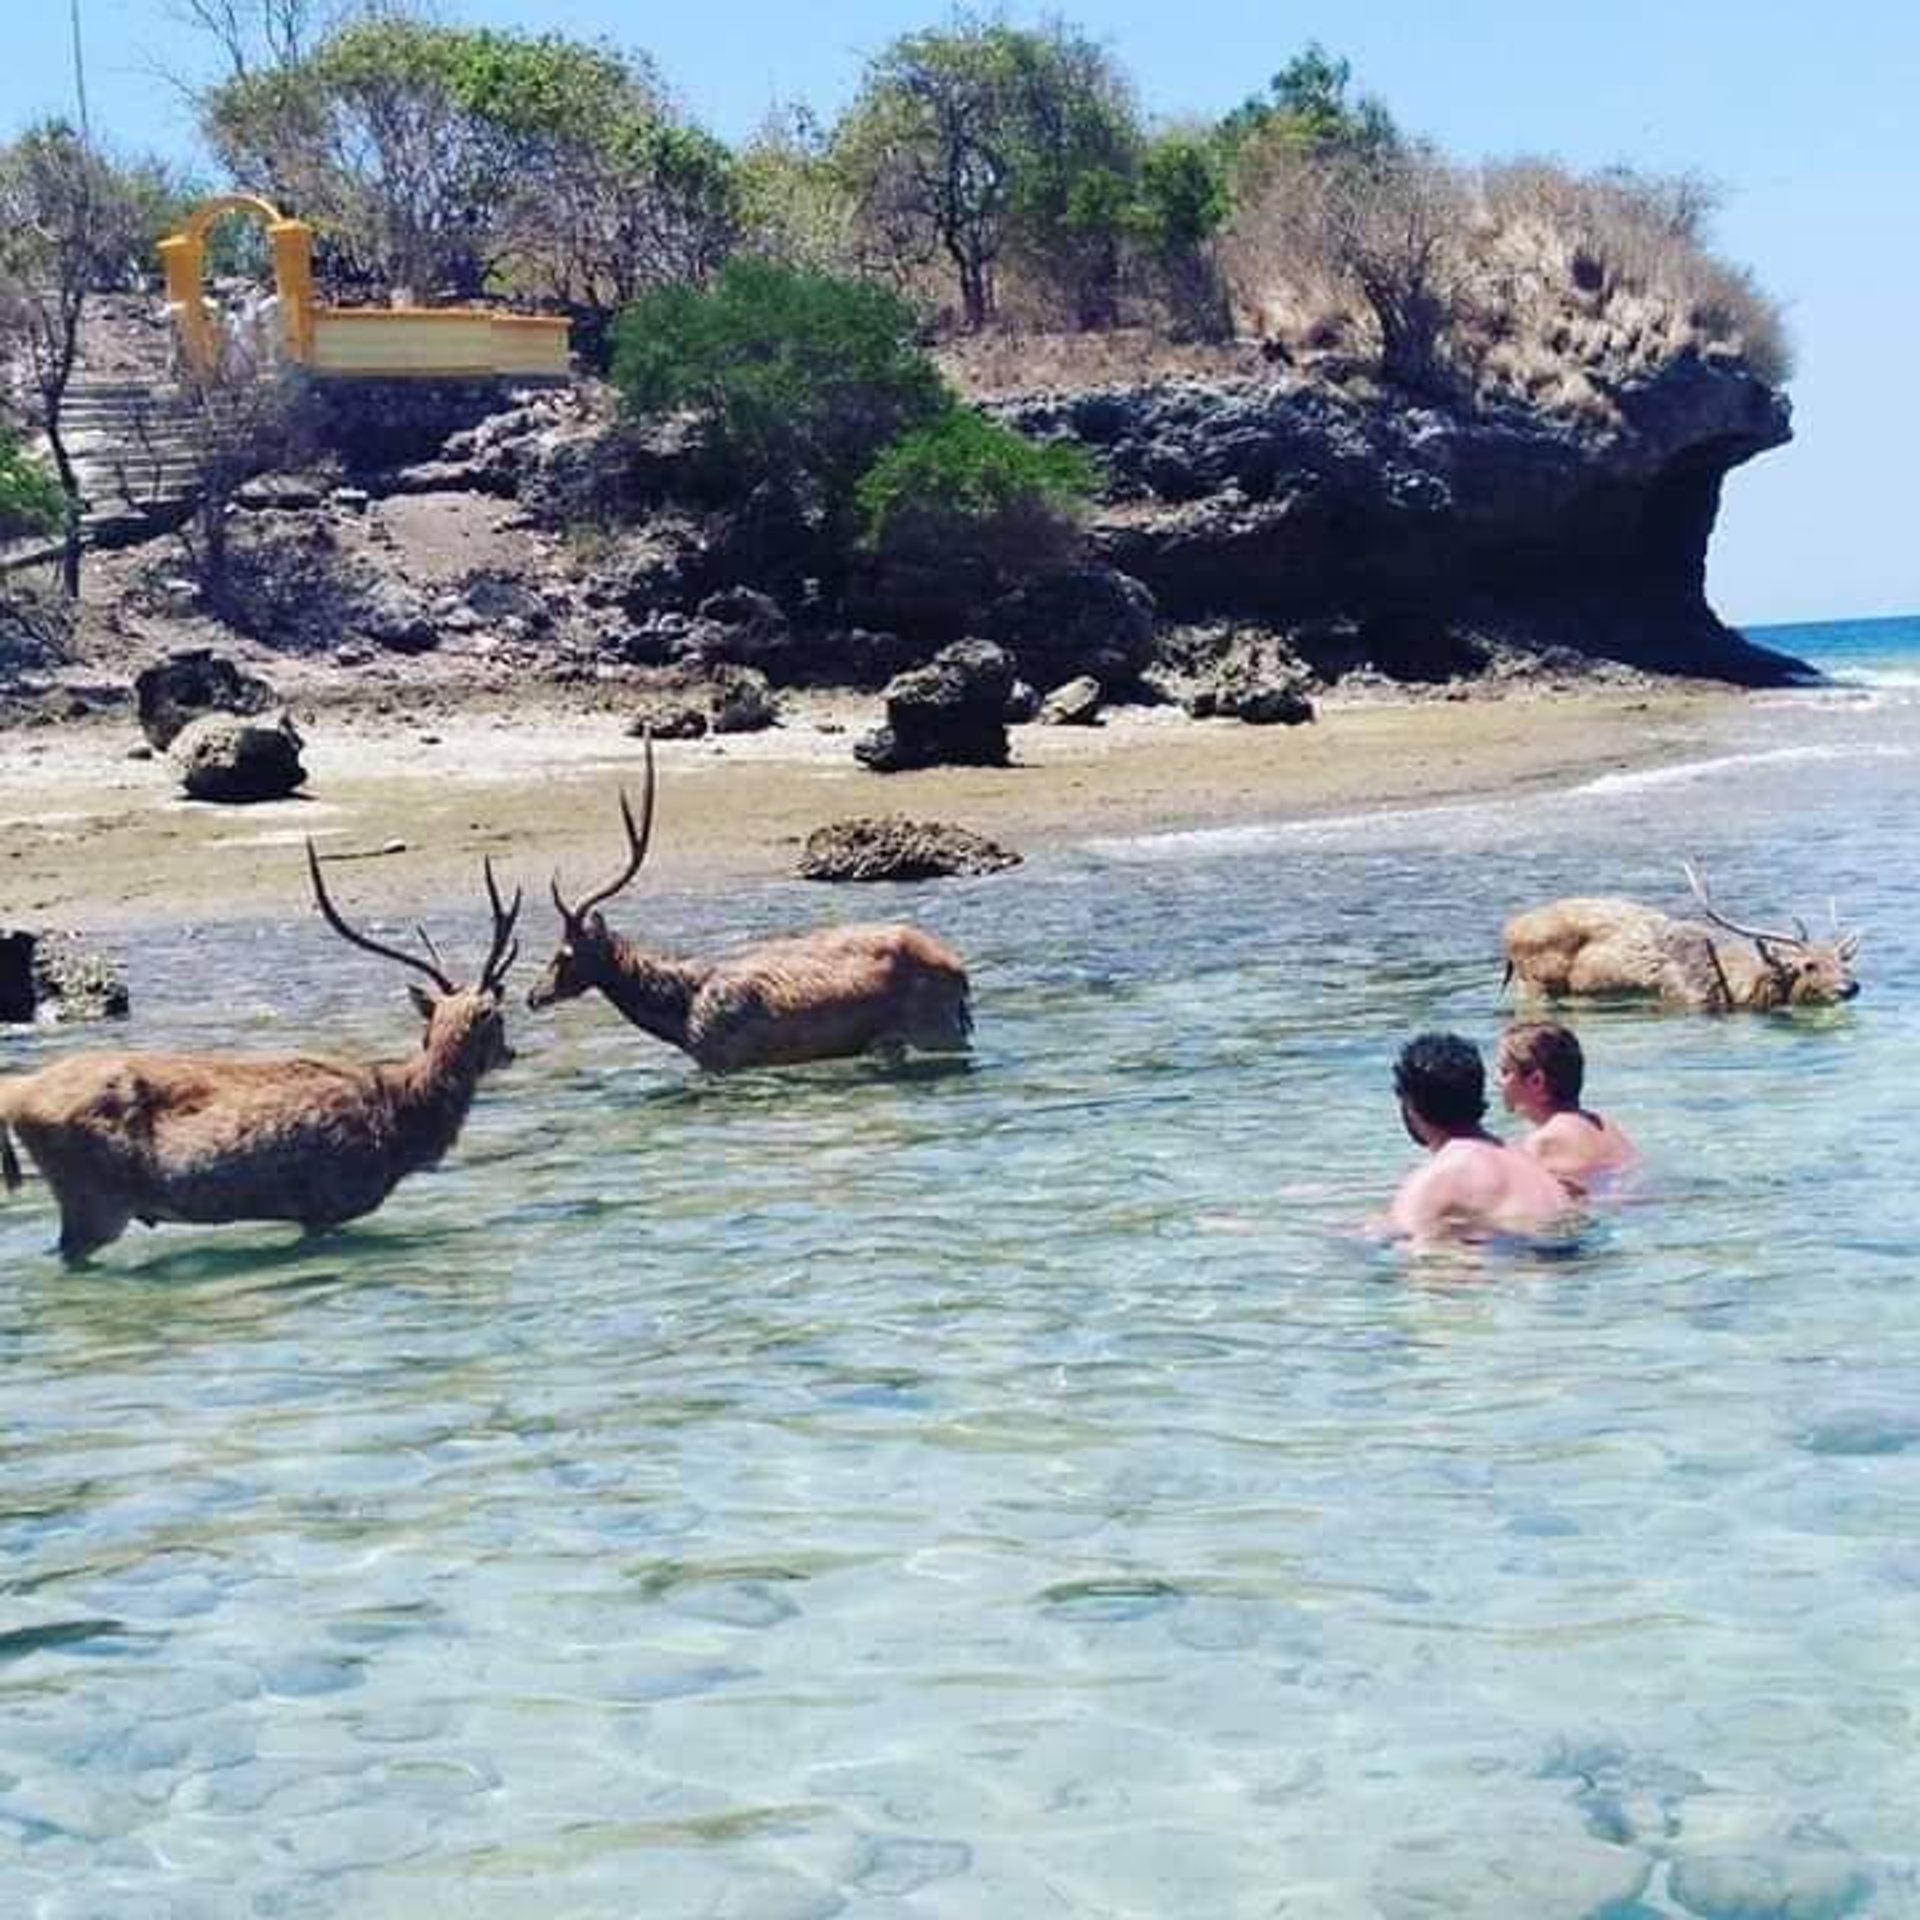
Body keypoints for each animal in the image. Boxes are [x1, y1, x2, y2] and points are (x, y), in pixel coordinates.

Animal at [0, 846, 523, 1266]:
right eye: (498, 1018)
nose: (512, 1052)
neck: (400, 1121)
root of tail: (17, 1094)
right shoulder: (327, 1198)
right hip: (92, 1196)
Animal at [527, 738, 972, 1070]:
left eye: (564, 953)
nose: (533, 995)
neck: (681, 1015)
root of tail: (960, 972)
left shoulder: (726, 1059)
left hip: (936, 1030)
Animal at [1502, 861, 1862, 1012]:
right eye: (1808, 965)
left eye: (1844, 962)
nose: (1850, 987)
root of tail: (1508, 931)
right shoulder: (1682, 998)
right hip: (1533, 982)